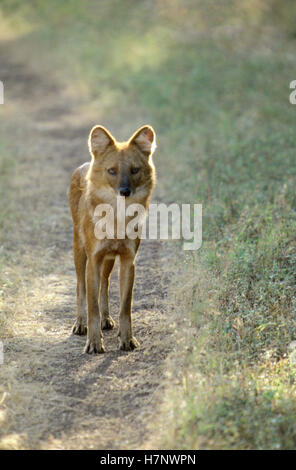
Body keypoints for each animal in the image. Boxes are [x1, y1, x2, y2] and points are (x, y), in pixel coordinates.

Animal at [68, 125, 156, 352]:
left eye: (134, 170)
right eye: (112, 171)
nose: (125, 191)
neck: (117, 219)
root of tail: (85, 164)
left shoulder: (127, 260)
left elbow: (125, 306)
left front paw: (127, 339)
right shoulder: (94, 259)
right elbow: (92, 306)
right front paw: (93, 342)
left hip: (108, 259)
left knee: (104, 284)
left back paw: (106, 319)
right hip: (79, 250)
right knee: (81, 287)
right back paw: (80, 324)